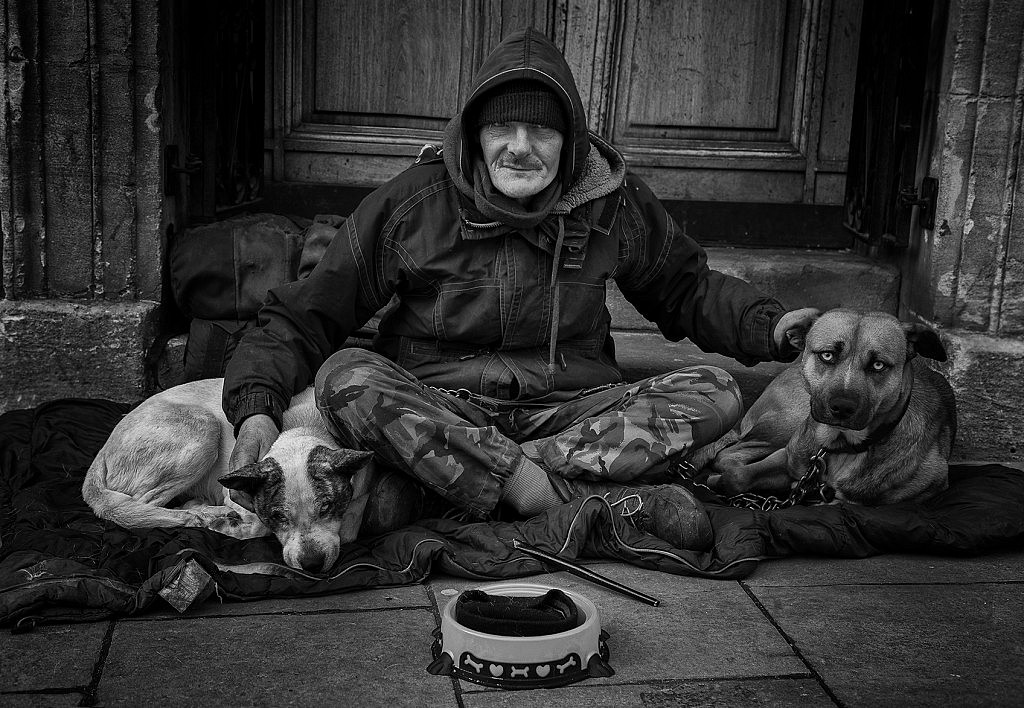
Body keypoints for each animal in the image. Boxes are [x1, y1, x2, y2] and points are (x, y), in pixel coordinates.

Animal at [81, 379, 380, 573]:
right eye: (278, 517)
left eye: (327, 507)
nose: (312, 565)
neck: (305, 427)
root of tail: (104, 449)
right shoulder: (236, 489)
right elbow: (257, 524)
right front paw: (225, 524)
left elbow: (349, 527)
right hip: (203, 428)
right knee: (143, 506)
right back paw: (203, 515)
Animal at [708, 309, 954, 504]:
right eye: (827, 355)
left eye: (878, 365)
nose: (842, 407)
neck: (840, 445)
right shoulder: (788, 456)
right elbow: (738, 475)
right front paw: (718, 481)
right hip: (787, 422)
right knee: (728, 454)